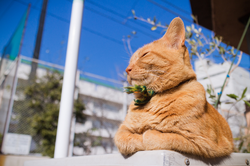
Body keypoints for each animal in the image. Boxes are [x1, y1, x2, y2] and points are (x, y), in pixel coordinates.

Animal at [114, 16, 233, 158]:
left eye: (144, 55)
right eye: (130, 61)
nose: (127, 69)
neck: (151, 98)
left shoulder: (202, 142)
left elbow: (154, 136)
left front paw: (146, 134)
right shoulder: (122, 130)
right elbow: (125, 139)